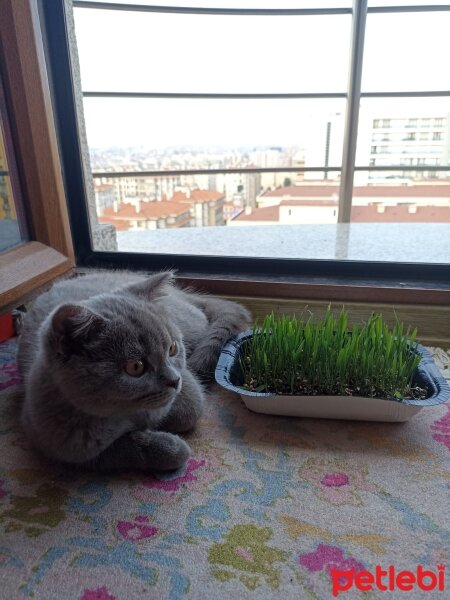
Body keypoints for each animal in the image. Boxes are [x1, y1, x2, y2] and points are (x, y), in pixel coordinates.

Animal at [16, 272, 250, 474]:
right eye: (135, 367)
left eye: (172, 348)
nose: (175, 380)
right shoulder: (62, 447)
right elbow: (116, 453)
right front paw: (168, 445)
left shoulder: (188, 386)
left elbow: (188, 412)